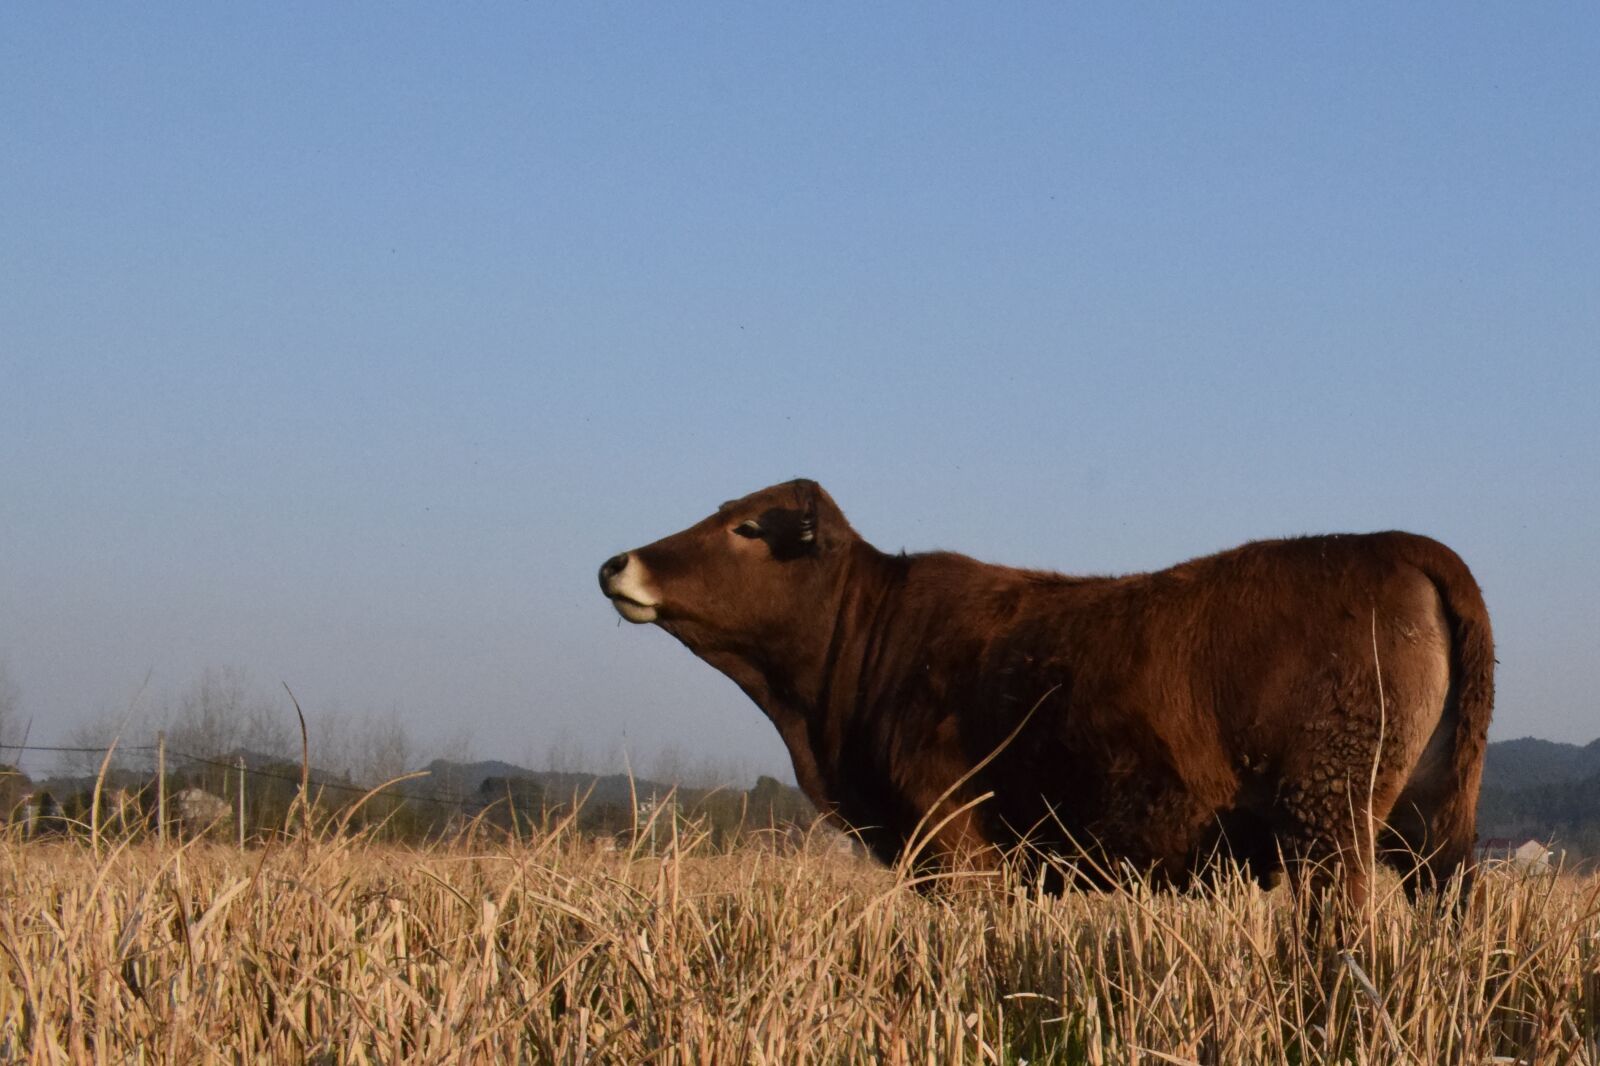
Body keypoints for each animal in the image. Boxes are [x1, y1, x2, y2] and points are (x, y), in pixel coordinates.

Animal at [598, 479, 1493, 905]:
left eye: (748, 527)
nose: (616, 562)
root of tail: (1396, 544)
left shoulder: (953, 842)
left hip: (1329, 822)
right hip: (1432, 833)